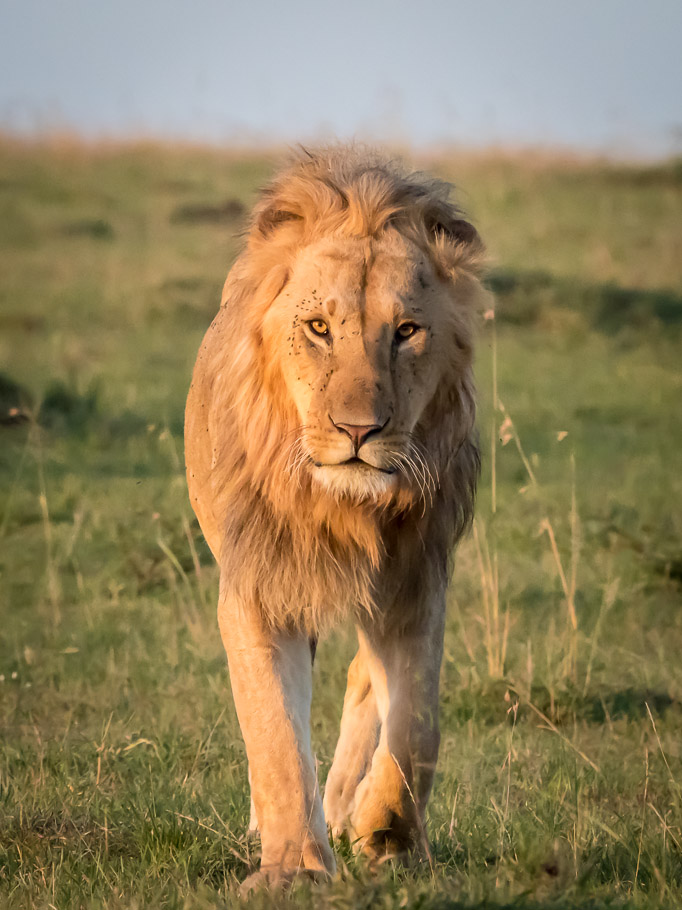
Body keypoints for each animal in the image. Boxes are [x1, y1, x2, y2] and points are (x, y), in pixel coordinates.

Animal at [184, 145, 485, 888]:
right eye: (319, 328)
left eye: (406, 332)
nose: (358, 430)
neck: (342, 508)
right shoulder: (259, 588)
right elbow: (274, 734)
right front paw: (293, 869)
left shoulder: (417, 581)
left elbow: (417, 726)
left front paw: (389, 837)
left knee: (363, 682)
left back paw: (350, 808)